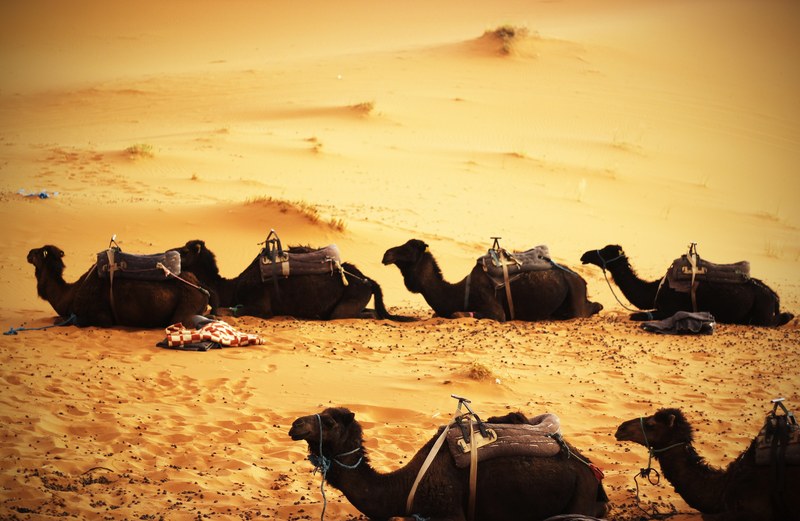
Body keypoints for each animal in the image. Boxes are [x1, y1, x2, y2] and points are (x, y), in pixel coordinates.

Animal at [28, 245, 209, 328]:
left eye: (38, 253)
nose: (28, 253)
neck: (70, 294)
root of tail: (201, 288)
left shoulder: (100, 318)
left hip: (184, 311)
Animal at [173, 240, 415, 321]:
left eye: (184, 252)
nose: (170, 253)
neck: (232, 287)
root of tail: (369, 280)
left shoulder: (261, 307)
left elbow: (229, 311)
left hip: (348, 303)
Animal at [290, 407, 609, 521]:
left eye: (329, 422)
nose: (295, 425)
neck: (404, 486)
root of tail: (594, 472)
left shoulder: (449, 514)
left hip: (579, 498)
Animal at [382, 239, 602, 321]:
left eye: (408, 248)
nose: (386, 254)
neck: (458, 292)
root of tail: (583, 280)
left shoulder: (496, 311)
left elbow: (458, 313)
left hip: (575, 299)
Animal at [580, 245, 793, 326]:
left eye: (606, 251)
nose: (585, 255)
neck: (655, 289)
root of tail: (774, 296)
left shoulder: (669, 309)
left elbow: (637, 315)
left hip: (762, 315)